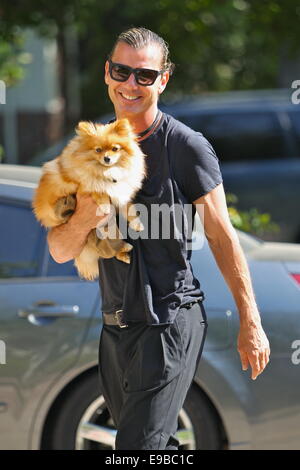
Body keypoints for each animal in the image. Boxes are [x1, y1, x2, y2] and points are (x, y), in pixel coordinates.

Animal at [31, 118, 146, 280]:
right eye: (98, 150)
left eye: (115, 149)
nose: (107, 158)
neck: (106, 171)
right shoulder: (84, 186)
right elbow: (98, 189)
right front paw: (104, 206)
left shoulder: (121, 192)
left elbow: (129, 208)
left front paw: (137, 224)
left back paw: (124, 252)